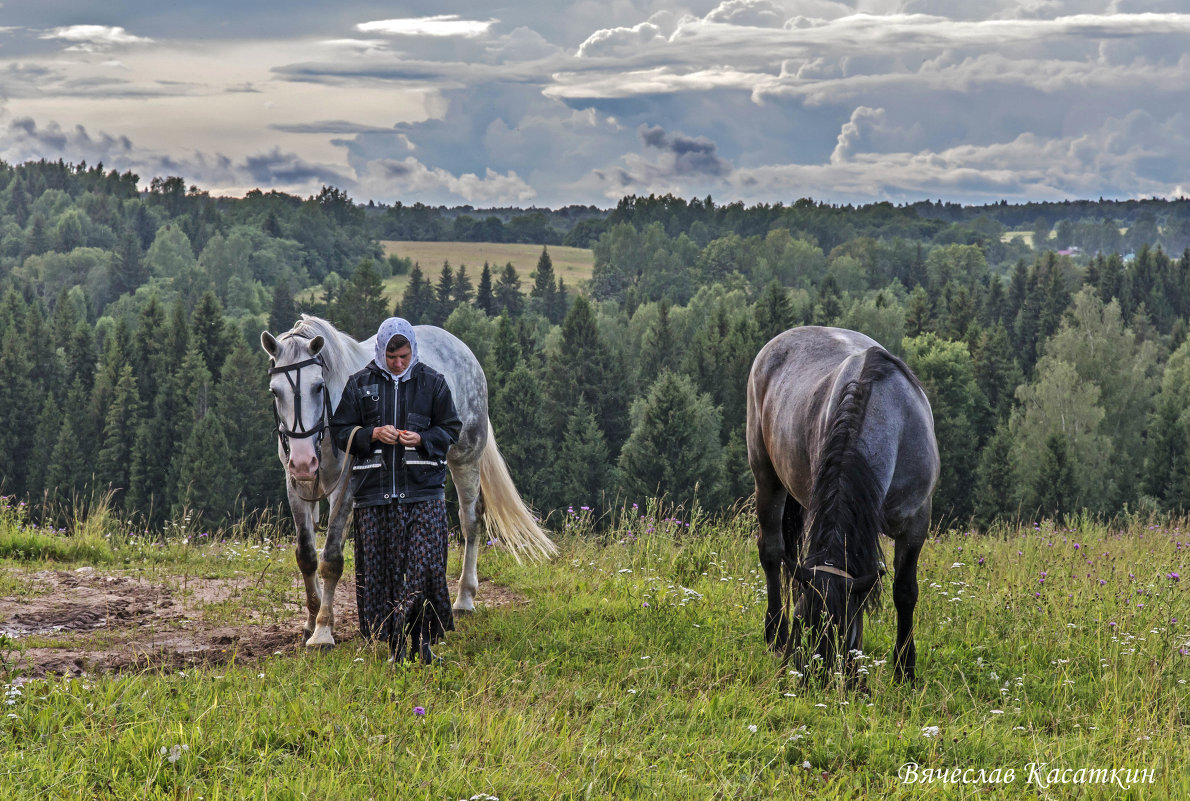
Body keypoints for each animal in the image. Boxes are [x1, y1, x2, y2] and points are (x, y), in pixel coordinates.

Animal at [261, 311, 556, 642]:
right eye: (275, 391)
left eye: (317, 387)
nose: (302, 461)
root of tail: (461, 347)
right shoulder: (297, 487)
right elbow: (307, 556)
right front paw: (311, 623)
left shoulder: (345, 489)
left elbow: (331, 559)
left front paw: (324, 630)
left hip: (465, 458)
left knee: (471, 519)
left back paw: (464, 599)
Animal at [747, 323, 932, 680]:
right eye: (802, 622)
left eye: (841, 626)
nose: (811, 677)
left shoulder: (916, 523)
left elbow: (905, 591)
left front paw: (905, 668)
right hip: (767, 476)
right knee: (772, 552)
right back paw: (774, 632)